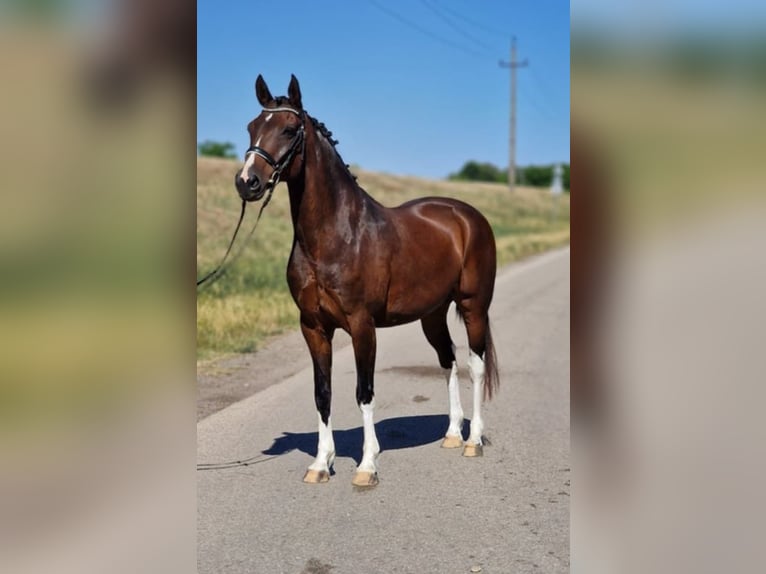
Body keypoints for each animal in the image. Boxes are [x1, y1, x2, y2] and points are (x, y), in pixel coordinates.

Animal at [235, 75, 499, 487]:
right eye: (251, 127)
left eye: (289, 129)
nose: (247, 182)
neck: (336, 235)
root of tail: (467, 216)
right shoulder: (313, 327)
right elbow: (322, 394)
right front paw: (320, 464)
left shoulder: (362, 326)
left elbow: (364, 392)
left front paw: (366, 465)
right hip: (432, 315)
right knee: (448, 360)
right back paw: (453, 434)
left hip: (474, 306)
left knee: (476, 363)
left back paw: (473, 441)